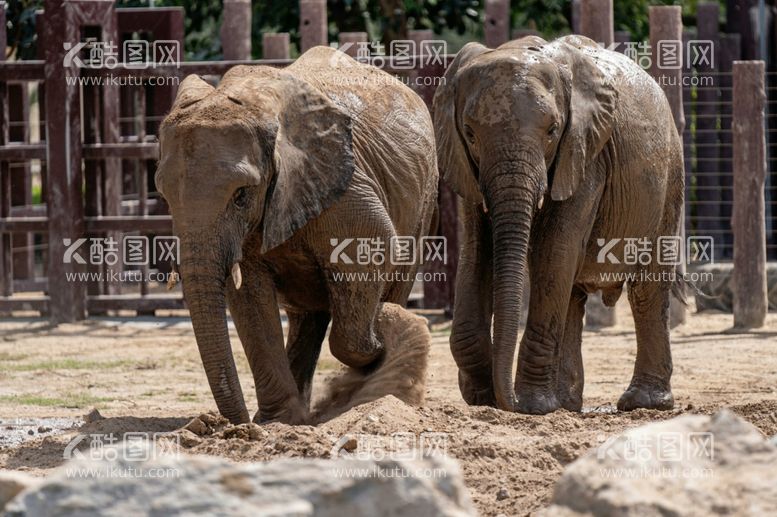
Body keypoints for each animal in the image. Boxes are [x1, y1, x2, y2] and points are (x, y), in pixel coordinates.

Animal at [155, 46, 440, 424]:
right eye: (164, 195)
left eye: (241, 195)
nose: (231, 424)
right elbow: (249, 297)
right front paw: (278, 422)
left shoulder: (341, 184)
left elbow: (373, 242)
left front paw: (384, 334)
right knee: (306, 316)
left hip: (425, 200)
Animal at [434, 35, 684, 416]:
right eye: (470, 134)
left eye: (552, 131)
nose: (506, 401)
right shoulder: (465, 166)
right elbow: (477, 251)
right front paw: (482, 397)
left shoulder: (586, 154)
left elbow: (555, 249)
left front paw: (531, 406)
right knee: (572, 295)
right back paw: (566, 404)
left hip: (669, 177)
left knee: (646, 289)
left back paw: (641, 404)